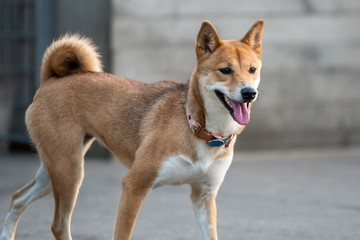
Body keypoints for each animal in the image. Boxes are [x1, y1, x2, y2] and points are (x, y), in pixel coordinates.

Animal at [0, 19, 264, 240]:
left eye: (252, 70)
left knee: (17, 199)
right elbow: (122, 233)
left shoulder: (204, 195)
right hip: (70, 173)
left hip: (55, 170)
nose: (249, 93)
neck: (197, 127)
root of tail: (51, 78)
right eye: (225, 70)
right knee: (58, 225)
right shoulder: (134, 186)